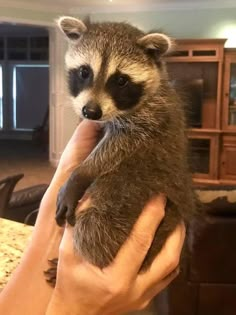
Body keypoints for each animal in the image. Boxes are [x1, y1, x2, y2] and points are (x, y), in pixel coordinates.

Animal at [55, 16, 197, 270]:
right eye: (84, 72)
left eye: (121, 80)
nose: (90, 112)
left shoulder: (151, 117)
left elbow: (119, 146)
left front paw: (81, 173)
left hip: (128, 195)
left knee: (93, 229)